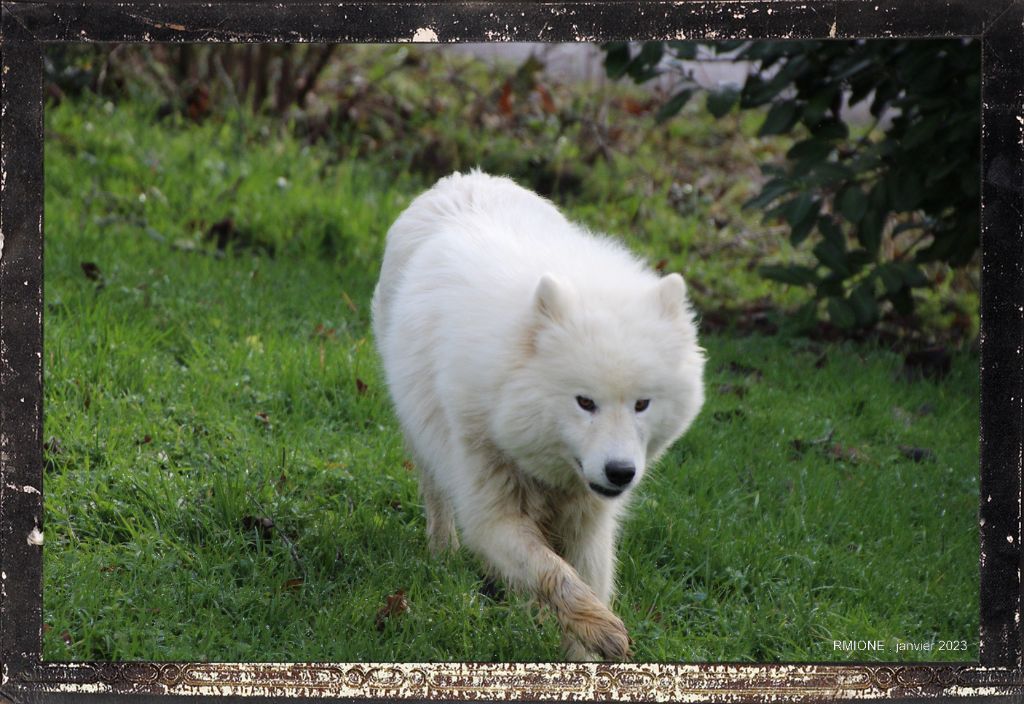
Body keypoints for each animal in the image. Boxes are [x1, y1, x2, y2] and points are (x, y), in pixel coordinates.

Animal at [374, 170, 704, 658]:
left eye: (642, 404)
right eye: (585, 402)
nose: (620, 472)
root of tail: (464, 177)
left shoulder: (589, 521)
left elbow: (582, 580)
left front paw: (583, 653)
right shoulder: (491, 514)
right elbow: (555, 576)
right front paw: (600, 628)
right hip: (422, 434)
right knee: (436, 493)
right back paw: (442, 551)